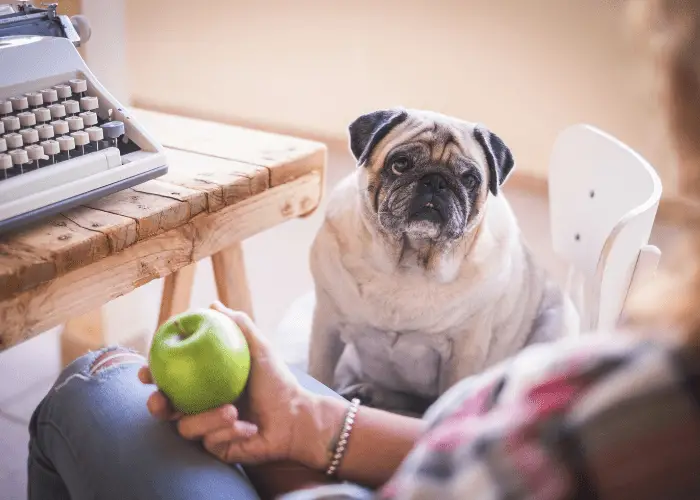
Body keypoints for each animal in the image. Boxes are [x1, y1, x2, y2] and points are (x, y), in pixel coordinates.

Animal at [308, 107, 576, 416]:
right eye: (400, 164)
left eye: (470, 179)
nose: (435, 181)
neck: (408, 263)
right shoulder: (327, 326)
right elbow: (318, 373)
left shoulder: (464, 352)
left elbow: (450, 392)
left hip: (555, 326)